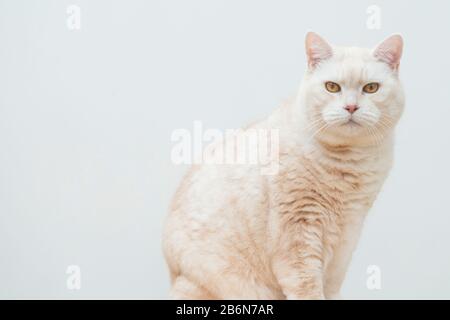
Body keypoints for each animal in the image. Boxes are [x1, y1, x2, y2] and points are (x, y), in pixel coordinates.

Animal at [163, 32, 406, 300]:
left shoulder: (348, 233)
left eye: (371, 88)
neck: (346, 163)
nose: (351, 107)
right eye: (332, 87)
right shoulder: (297, 230)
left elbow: (330, 287)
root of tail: (175, 275)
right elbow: (308, 287)